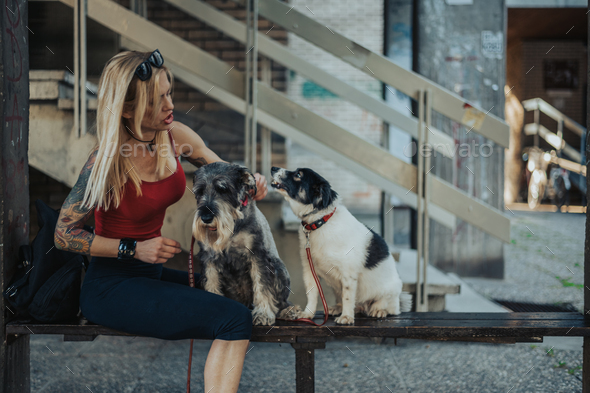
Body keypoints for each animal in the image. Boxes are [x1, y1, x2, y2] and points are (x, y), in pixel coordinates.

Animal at [192, 162, 300, 324]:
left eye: (223, 189)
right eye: (199, 191)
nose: (205, 217)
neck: (233, 223)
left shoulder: (258, 255)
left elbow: (262, 285)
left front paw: (263, 314)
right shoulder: (208, 258)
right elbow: (211, 282)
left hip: (278, 267)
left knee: (281, 302)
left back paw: (289, 311)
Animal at [272, 165, 414, 324]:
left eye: (298, 175)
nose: (273, 168)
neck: (320, 223)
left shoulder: (348, 274)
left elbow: (347, 297)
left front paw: (346, 317)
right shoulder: (310, 270)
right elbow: (312, 294)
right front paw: (308, 314)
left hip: (390, 291)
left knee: (388, 306)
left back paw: (379, 310)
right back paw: (338, 308)